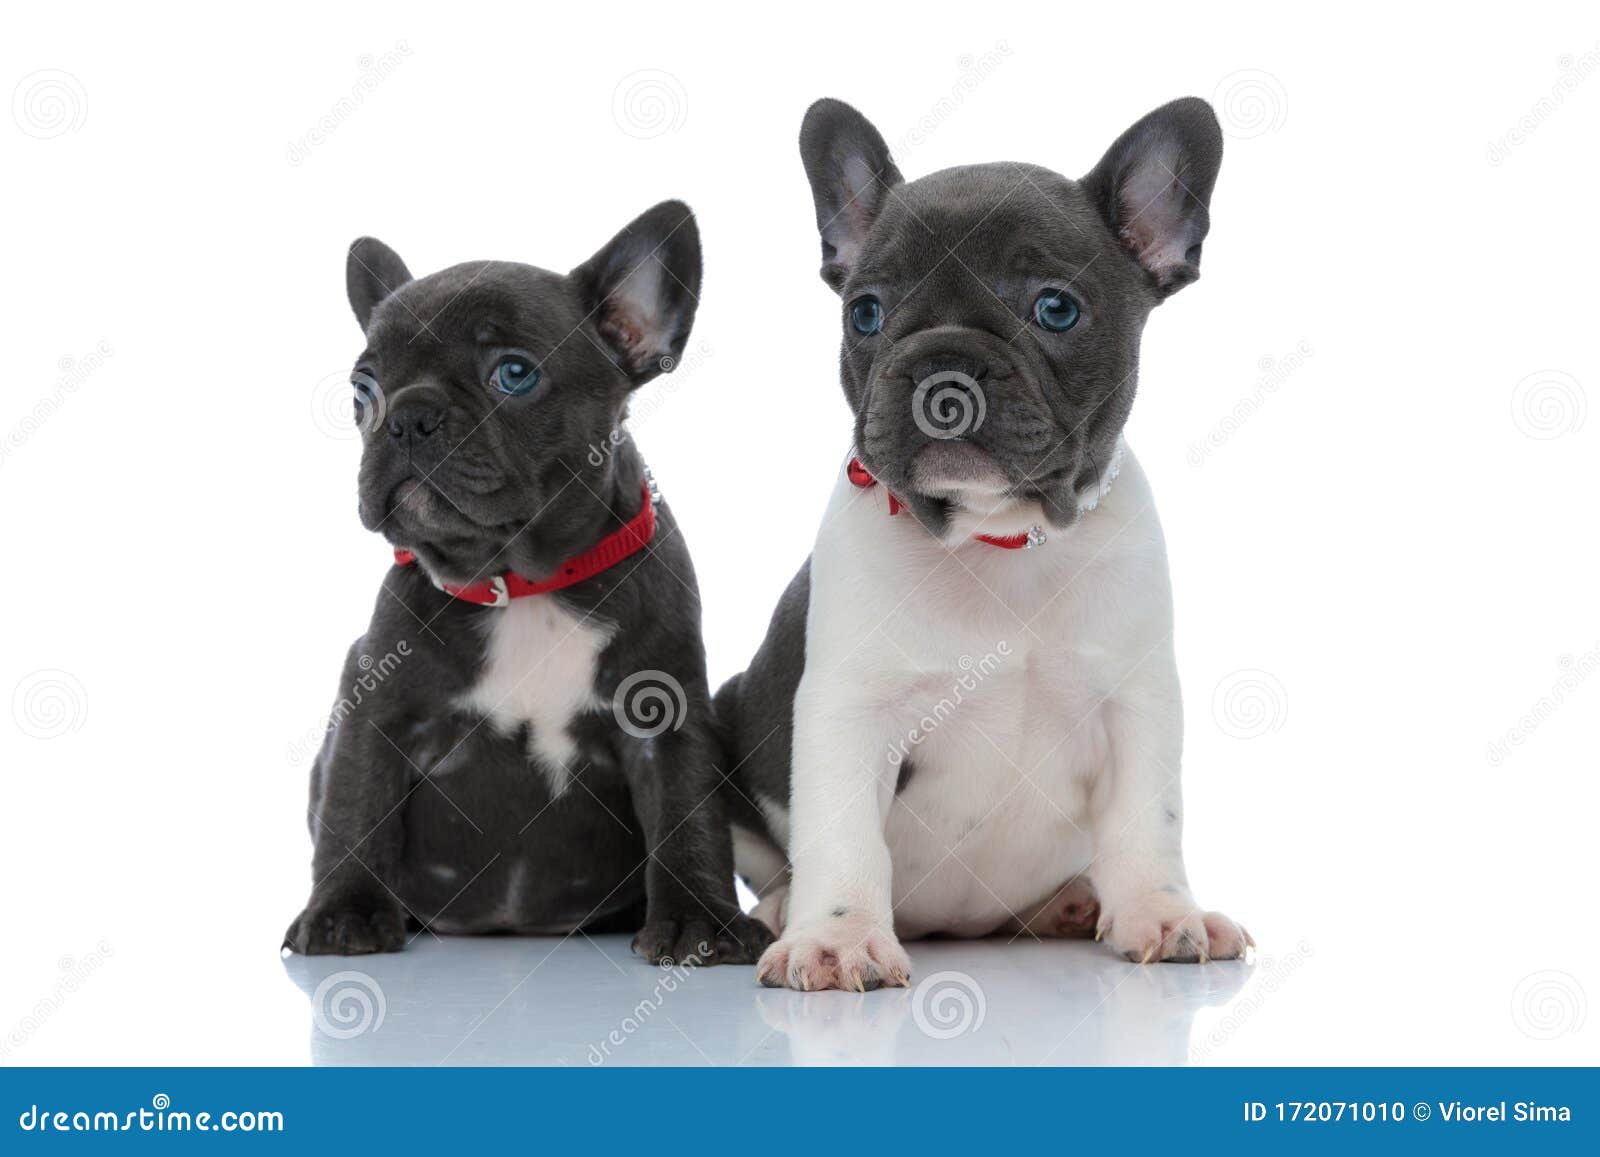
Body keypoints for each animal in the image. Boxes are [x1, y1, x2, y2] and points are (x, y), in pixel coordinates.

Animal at [289, 201, 774, 966]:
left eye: (513, 374)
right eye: (363, 389)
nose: (408, 415)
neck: (519, 582)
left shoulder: (666, 713)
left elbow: (686, 812)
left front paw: (701, 921)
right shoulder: (375, 706)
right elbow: (355, 804)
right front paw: (344, 912)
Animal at [713, 97, 1248, 998]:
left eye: (1056, 308)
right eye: (866, 312)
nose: (944, 362)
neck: (1002, 540)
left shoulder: (1137, 702)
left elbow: (1149, 815)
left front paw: (1160, 909)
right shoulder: (850, 711)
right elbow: (843, 831)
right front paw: (837, 935)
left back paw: (1072, 900)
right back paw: (784, 909)